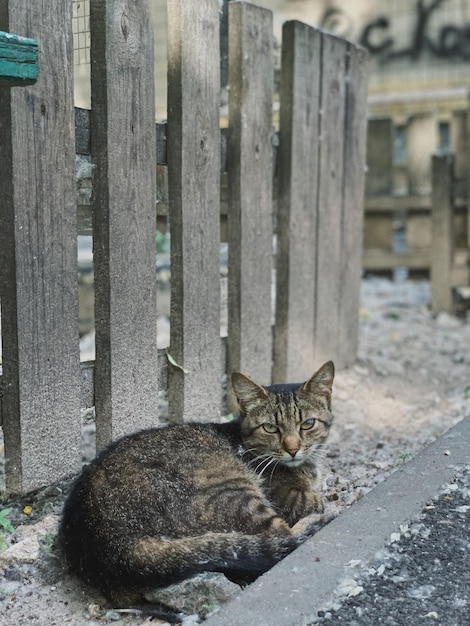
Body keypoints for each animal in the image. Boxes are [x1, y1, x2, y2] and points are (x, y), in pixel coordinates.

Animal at [59, 360, 334, 604]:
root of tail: (110, 546)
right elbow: (313, 500)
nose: (292, 449)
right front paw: (323, 502)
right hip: (233, 491)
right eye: (270, 428)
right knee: (280, 535)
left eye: (308, 424)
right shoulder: (287, 497)